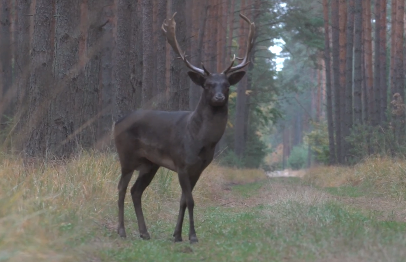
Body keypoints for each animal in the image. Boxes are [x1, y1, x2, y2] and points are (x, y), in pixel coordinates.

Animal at [113, 12, 254, 244]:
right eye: (207, 85)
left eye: (226, 85)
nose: (219, 97)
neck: (199, 140)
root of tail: (116, 122)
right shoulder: (182, 164)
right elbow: (191, 201)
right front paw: (192, 236)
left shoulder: (198, 168)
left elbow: (183, 201)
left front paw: (177, 235)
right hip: (126, 155)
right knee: (121, 188)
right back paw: (122, 231)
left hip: (150, 164)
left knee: (136, 191)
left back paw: (144, 232)